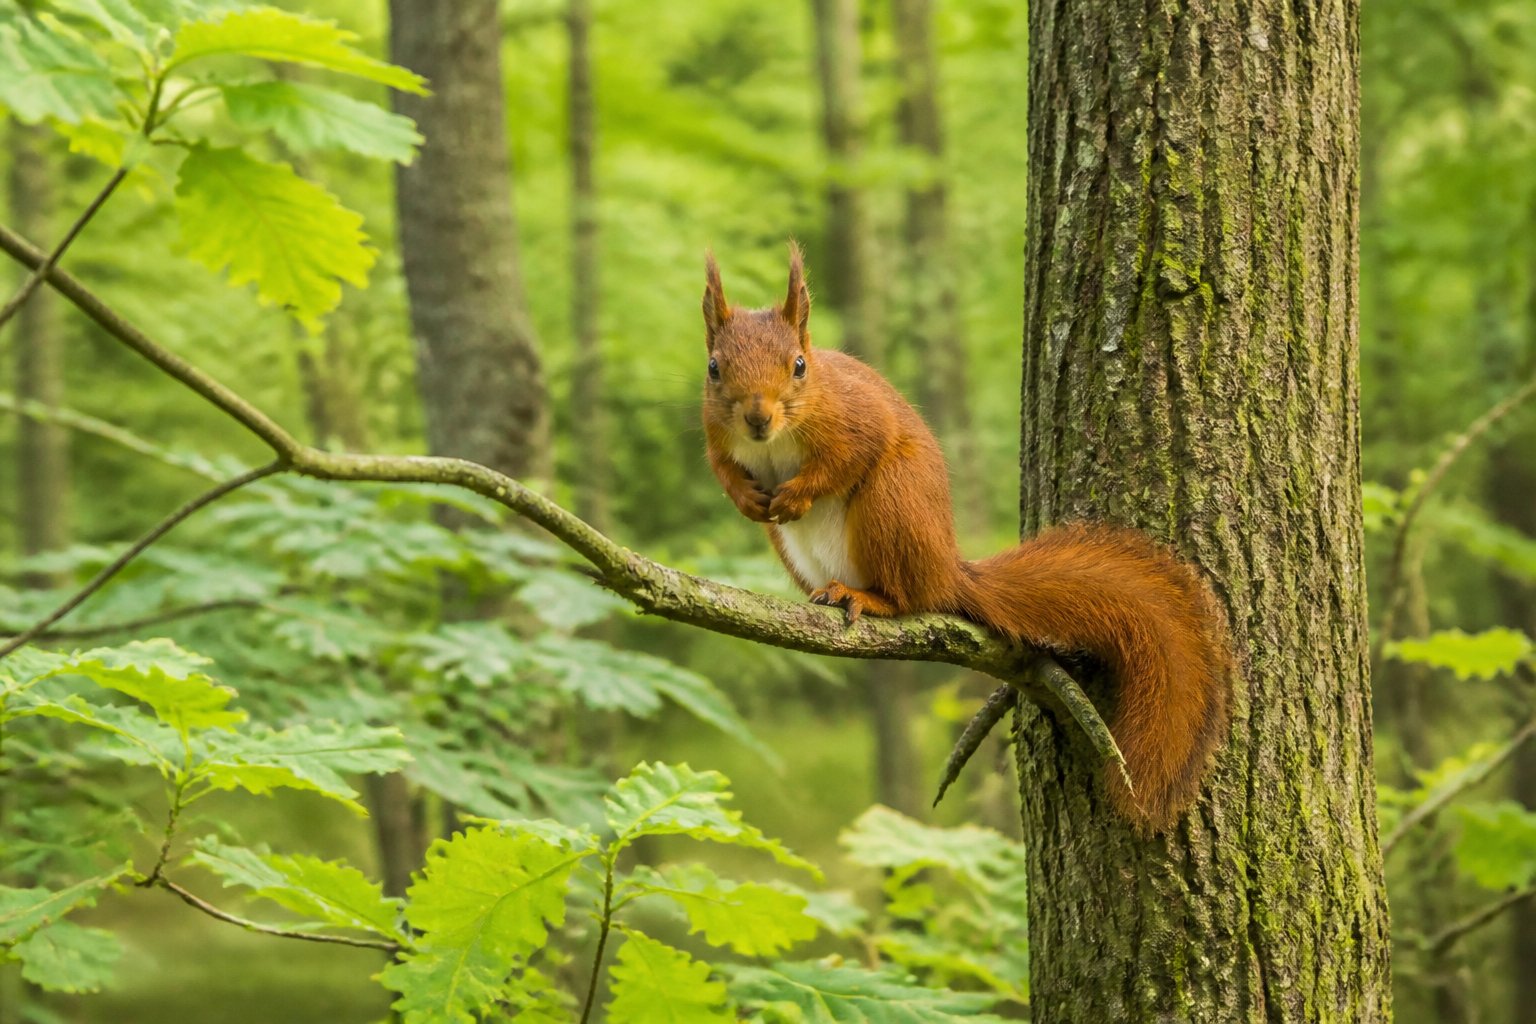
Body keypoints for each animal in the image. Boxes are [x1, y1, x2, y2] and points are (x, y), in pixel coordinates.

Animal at [699, 244, 1231, 832]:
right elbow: (721, 466)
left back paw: (867, 596)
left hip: (893, 504)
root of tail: (948, 571)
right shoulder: (716, 434)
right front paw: (746, 499)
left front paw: (796, 495)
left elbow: (849, 456)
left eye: (798, 365)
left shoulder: (855, 418)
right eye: (714, 368)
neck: (774, 441)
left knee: (910, 598)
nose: (757, 416)